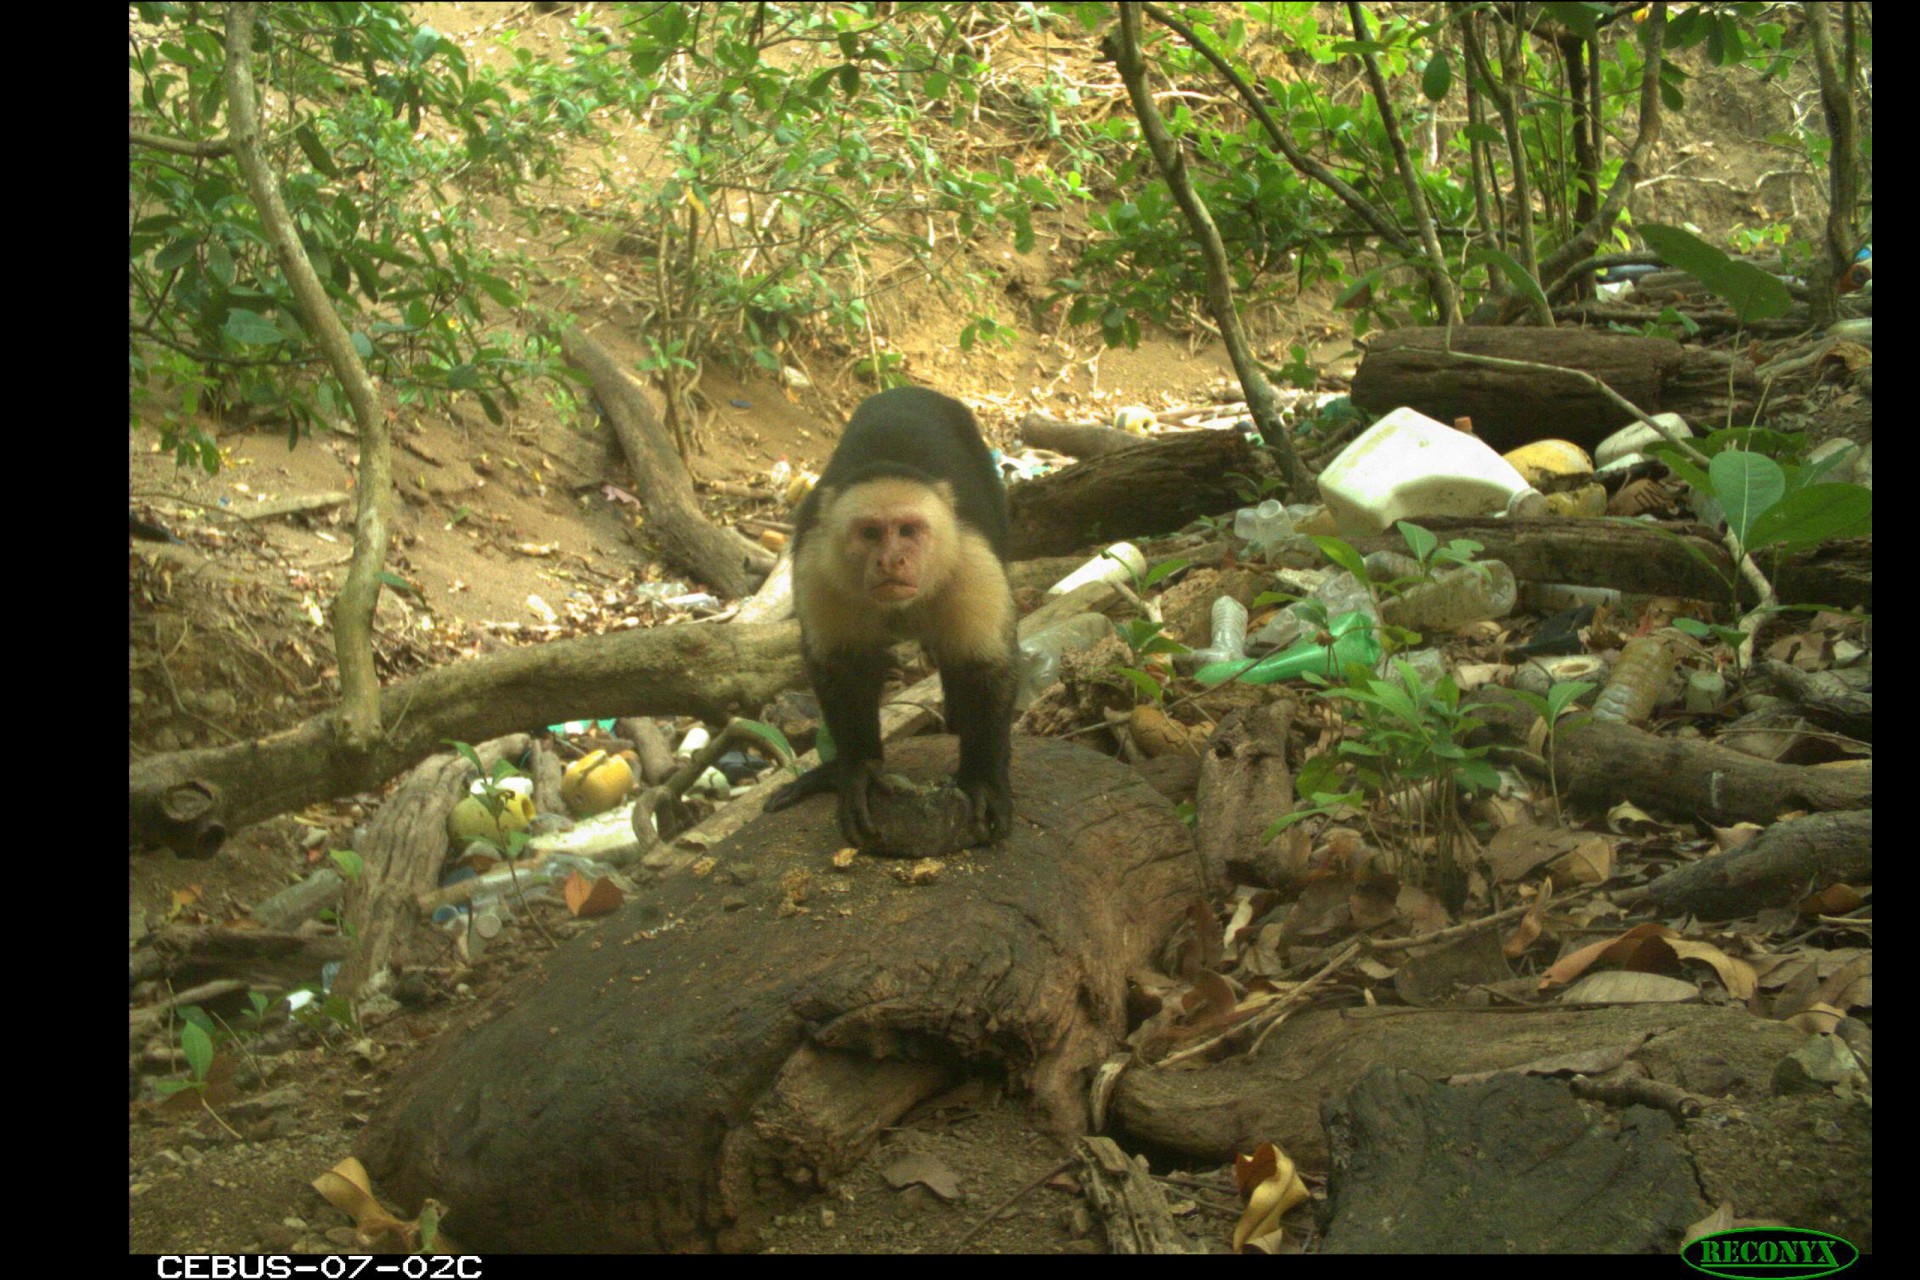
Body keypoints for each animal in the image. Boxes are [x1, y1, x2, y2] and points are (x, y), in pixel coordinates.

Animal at [764, 385, 1021, 844]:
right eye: (870, 533)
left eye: (907, 530)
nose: (891, 561)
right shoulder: (818, 567)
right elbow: (843, 668)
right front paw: (859, 770)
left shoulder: (972, 565)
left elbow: (986, 668)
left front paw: (983, 781)